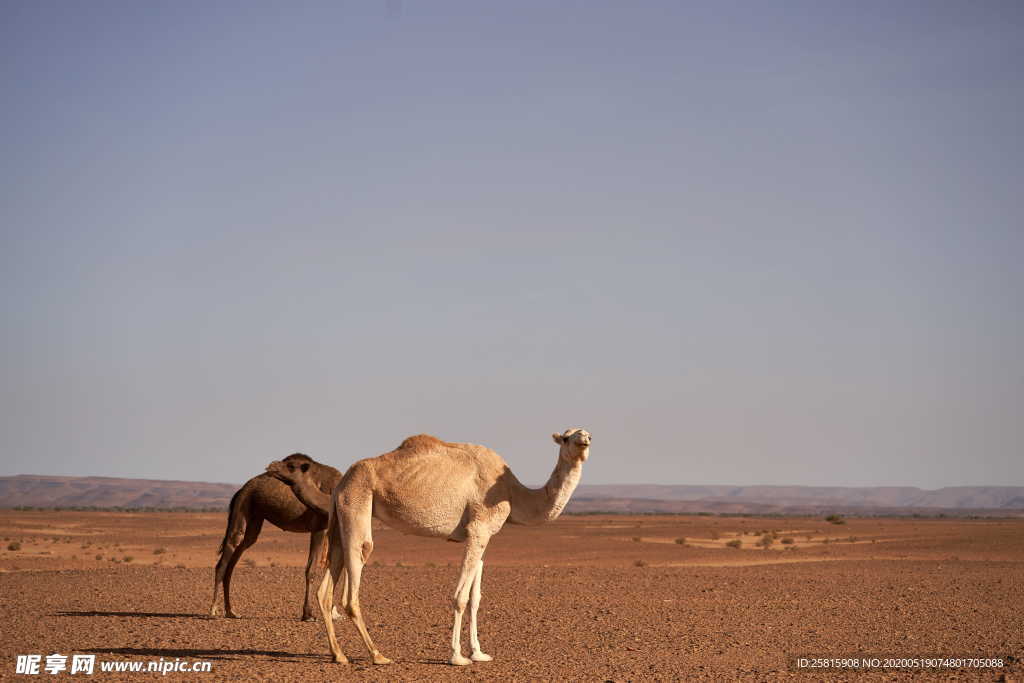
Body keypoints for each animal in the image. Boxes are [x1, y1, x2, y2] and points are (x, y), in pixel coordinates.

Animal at [209, 450, 342, 622]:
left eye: (291, 465)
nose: (271, 465)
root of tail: (241, 490)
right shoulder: (319, 527)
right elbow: (311, 569)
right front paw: (308, 614)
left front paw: (333, 613)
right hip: (242, 506)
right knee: (228, 552)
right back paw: (213, 610)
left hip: (255, 518)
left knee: (236, 558)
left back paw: (231, 611)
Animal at [266, 428, 593, 667]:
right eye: (567, 436)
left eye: (585, 432)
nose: (585, 439)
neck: (512, 492)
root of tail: (342, 480)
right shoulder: (478, 529)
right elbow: (460, 597)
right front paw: (458, 657)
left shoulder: (483, 537)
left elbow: (476, 597)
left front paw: (479, 653)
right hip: (356, 502)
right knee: (353, 582)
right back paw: (378, 655)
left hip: (338, 517)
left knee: (326, 588)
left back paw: (339, 655)